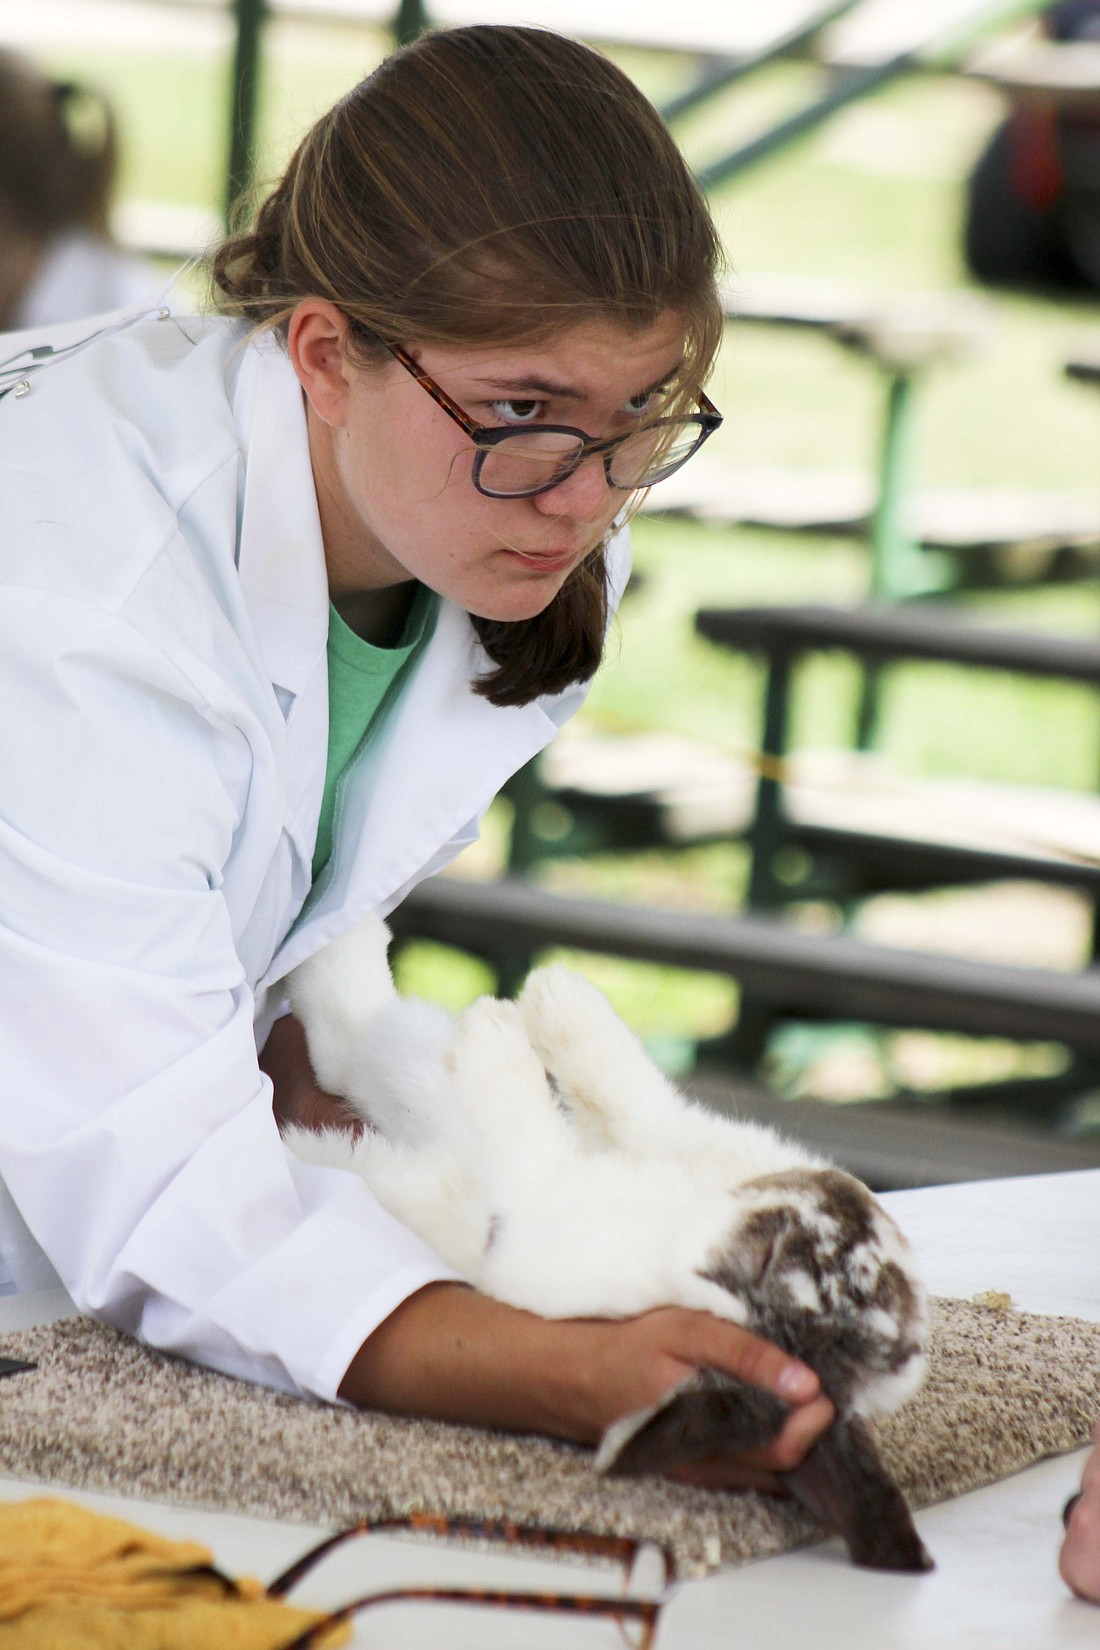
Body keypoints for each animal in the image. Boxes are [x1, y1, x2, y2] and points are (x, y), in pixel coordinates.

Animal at [282, 917, 930, 1570]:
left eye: (768, 1263)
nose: (840, 1191)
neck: (676, 1222)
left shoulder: (536, 1203)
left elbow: (530, 1125)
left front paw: (500, 1028)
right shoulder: (662, 1132)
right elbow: (625, 1090)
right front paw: (556, 991)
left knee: (353, 1055)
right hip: (416, 1072)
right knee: (361, 1040)